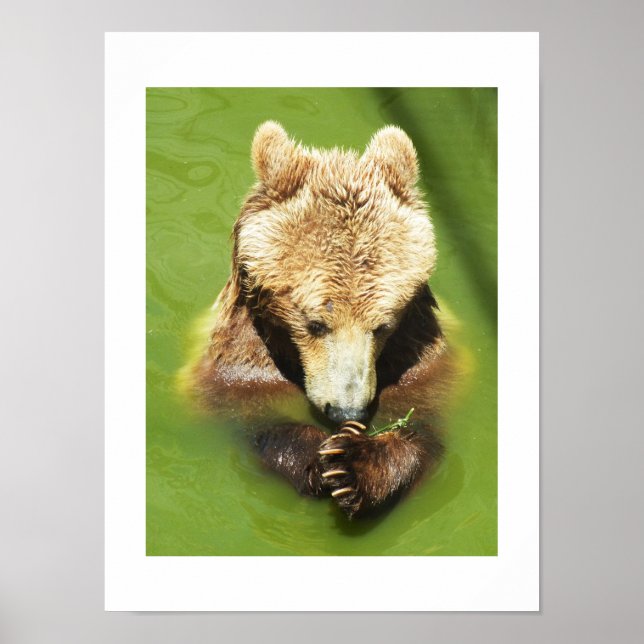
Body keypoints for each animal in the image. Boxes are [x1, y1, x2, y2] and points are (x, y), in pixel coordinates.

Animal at [189, 121, 456, 518]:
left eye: (382, 325)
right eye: (315, 323)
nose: (348, 409)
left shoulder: (417, 353)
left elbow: (424, 422)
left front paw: (353, 465)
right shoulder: (241, 358)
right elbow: (249, 413)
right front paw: (320, 458)